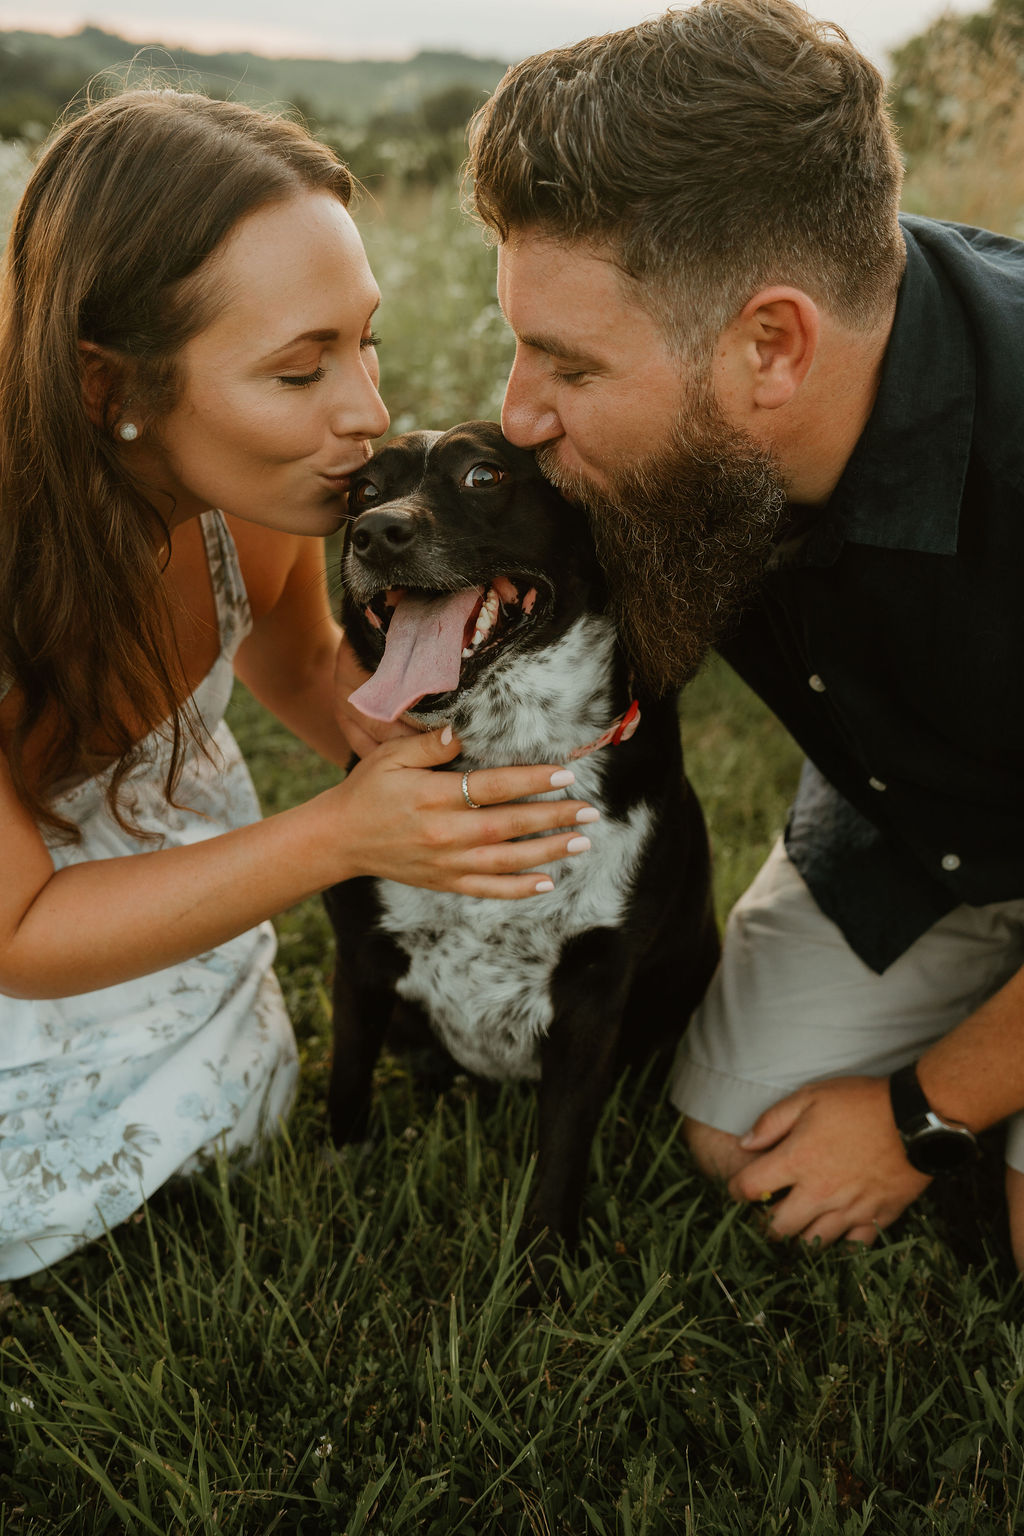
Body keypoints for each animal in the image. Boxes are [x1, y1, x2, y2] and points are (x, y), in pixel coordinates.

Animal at [323, 421, 719, 1246]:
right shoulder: (362, 956)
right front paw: (339, 1189)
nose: (376, 532)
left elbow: (564, 1147)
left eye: (484, 474)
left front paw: (544, 1262)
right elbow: (346, 1085)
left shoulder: (593, 993)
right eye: (363, 491)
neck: (503, 752)